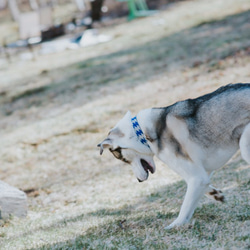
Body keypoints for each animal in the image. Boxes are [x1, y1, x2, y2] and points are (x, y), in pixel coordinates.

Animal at [97, 83, 250, 229]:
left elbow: (186, 207)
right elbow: (201, 188)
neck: (141, 132)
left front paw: (175, 225)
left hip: (244, 144)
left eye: (123, 159)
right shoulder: (201, 171)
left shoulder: (196, 177)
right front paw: (215, 194)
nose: (139, 181)